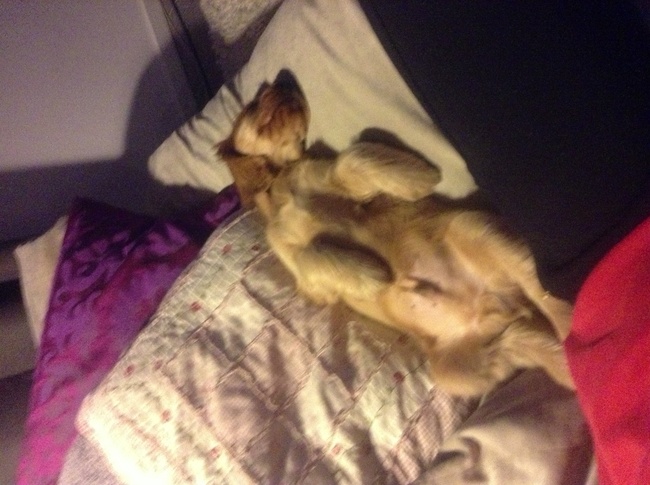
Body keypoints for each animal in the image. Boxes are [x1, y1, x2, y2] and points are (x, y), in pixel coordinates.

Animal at [218, 78, 574, 397]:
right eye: (254, 105)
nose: (283, 86)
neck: (282, 185)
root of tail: (495, 306)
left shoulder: (340, 183)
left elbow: (351, 160)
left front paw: (416, 178)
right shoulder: (308, 281)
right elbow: (310, 254)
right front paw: (369, 276)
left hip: (472, 228)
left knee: (541, 292)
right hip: (458, 370)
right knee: (515, 340)